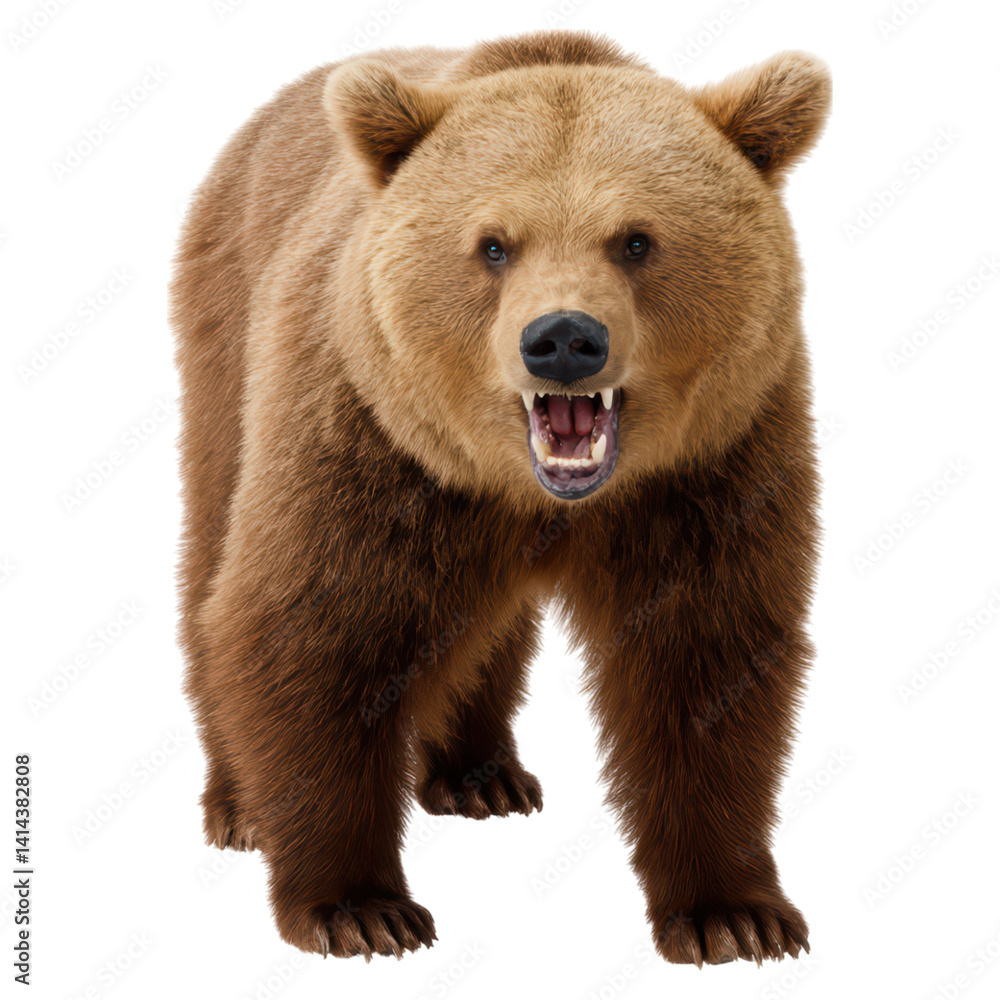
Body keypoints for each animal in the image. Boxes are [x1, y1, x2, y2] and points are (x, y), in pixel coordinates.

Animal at [170, 29, 830, 967]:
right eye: (492, 244)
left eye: (636, 240)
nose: (563, 339)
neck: (537, 493)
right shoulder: (368, 441)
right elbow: (310, 630)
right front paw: (361, 908)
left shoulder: (713, 465)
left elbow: (704, 658)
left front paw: (734, 914)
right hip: (230, 322)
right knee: (213, 541)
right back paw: (238, 804)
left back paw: (480, 774)